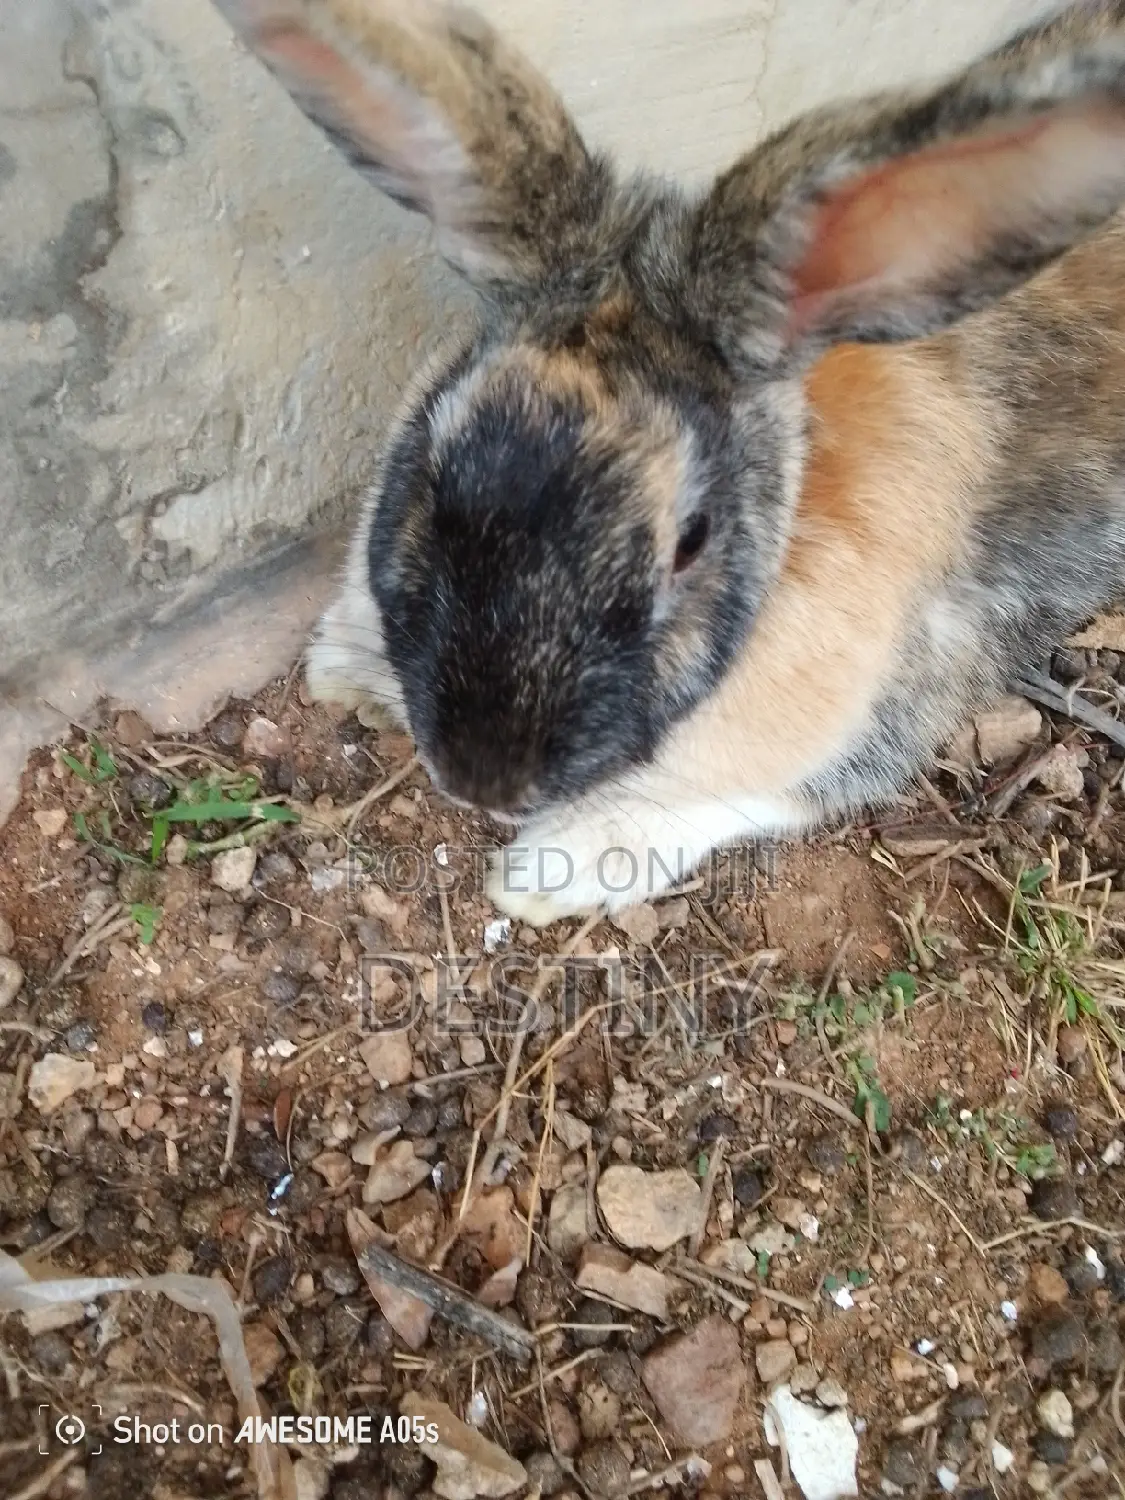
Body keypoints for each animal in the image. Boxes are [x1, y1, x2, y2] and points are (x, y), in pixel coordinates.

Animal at [213, 0, 1125, 925]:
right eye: (437, 468)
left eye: (691, 541)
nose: (484, 779)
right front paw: (347, 667)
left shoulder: (891, 700)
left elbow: (727, 796)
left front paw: (548, 870)